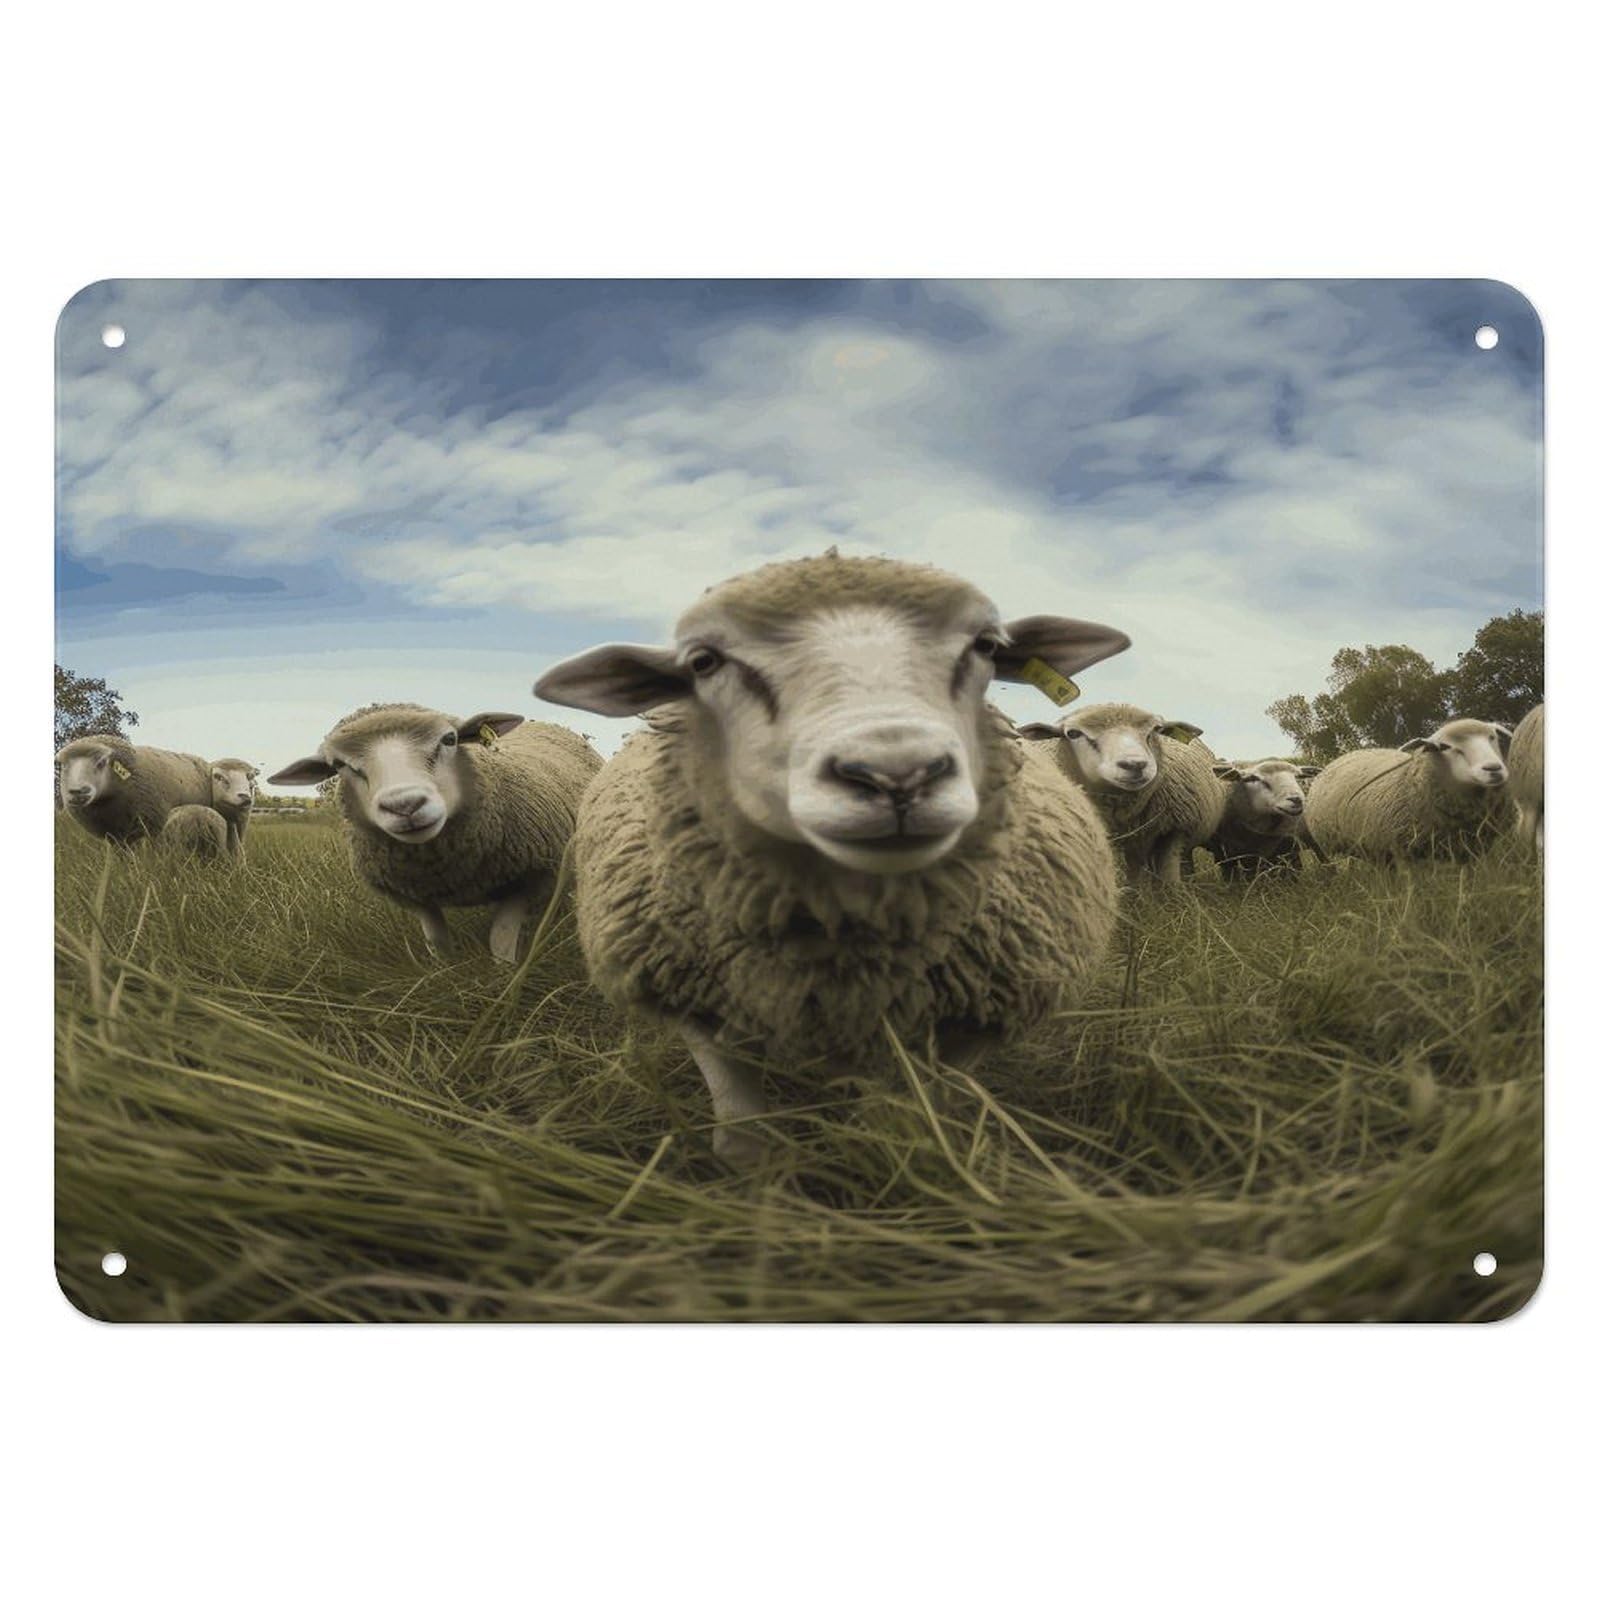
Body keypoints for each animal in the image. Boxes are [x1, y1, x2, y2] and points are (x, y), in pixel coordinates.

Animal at [268, 706, 602, 962]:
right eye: (339, 765)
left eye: (450, 739)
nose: (405, 804)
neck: (448, 873)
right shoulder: (414, 896)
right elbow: (438, 943)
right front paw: (445, 973)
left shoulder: (530, 877)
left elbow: (500, 939)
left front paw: (504, 977)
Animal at [534, 552, 1130, 1163]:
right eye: (703, 661)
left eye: (986, 645)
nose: (898, 775)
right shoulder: (686, 996)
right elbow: (742, 1136)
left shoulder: (985, 1012)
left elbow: (923, 1115)